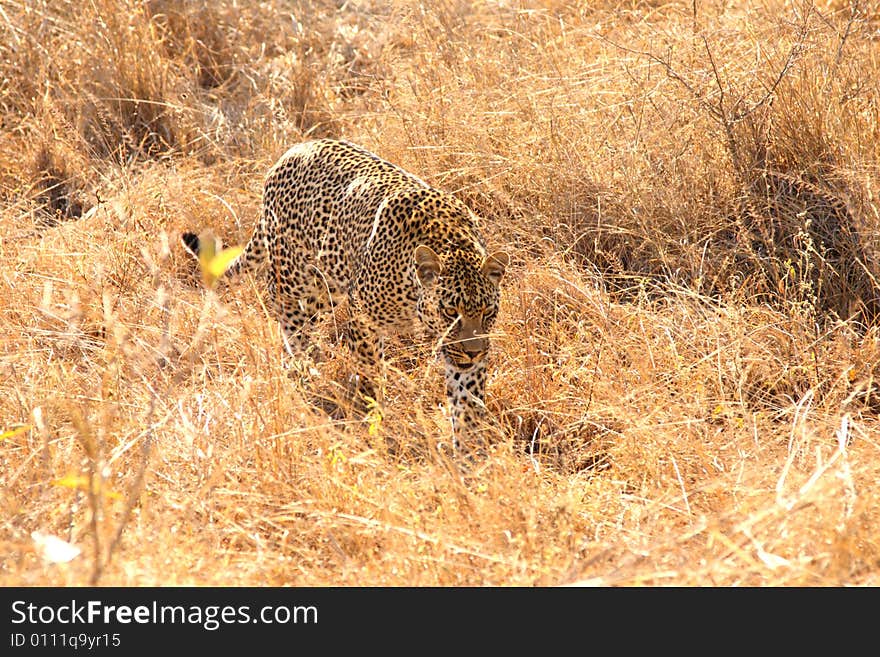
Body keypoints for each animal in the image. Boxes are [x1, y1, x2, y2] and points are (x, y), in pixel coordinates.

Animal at [183, 140, 512, 440]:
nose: (473, 351)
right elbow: (369, 371)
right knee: (291, 330)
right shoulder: (363, 317)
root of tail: (292, 151)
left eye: (488, 312)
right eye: (450, 311)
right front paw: (372, 419)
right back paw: (304, 376)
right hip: (293, 282)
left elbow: (466, 398)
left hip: (325, 290)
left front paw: (469, 450)